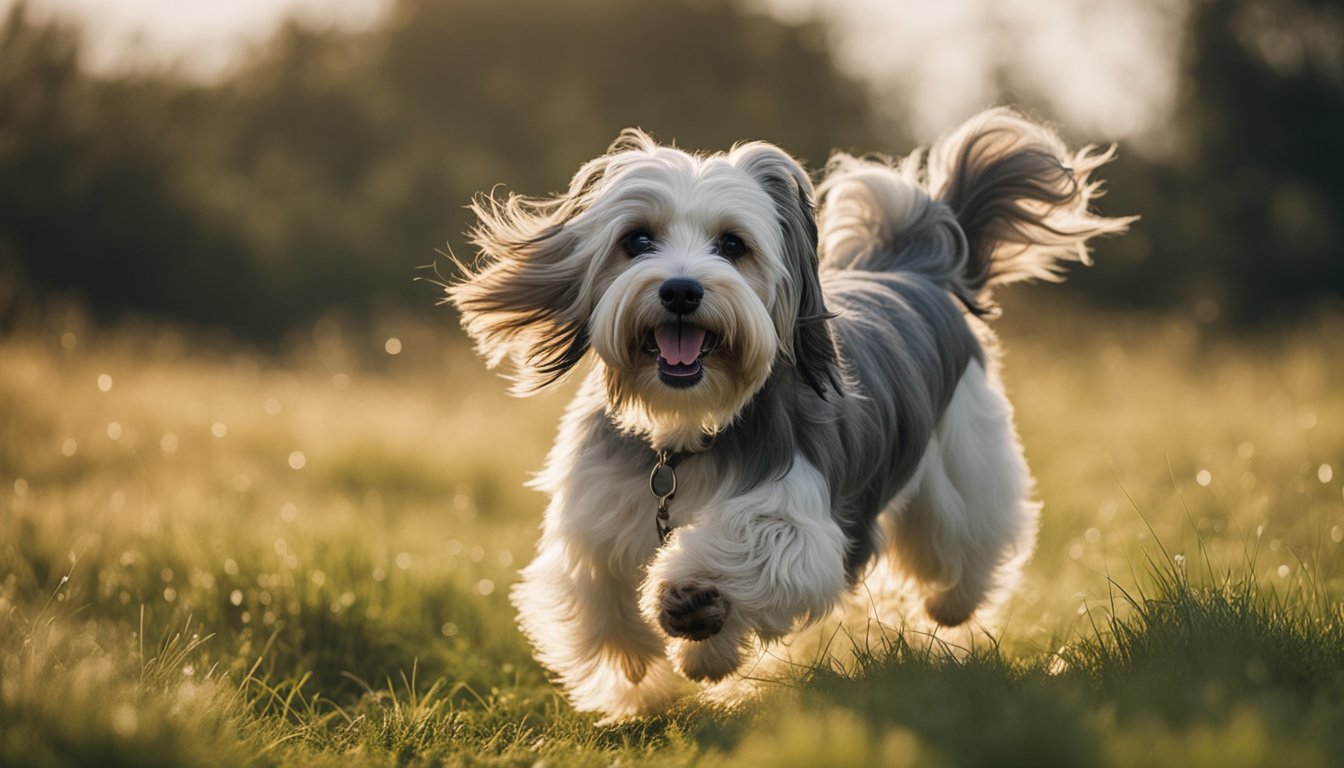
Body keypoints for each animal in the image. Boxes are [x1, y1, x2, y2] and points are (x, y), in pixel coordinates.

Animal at [446, 104, 1128, 720]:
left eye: (733, 244)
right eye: (636, 239)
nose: (681, 289)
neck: (688, 430)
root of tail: (913, 265)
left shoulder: (799, 511)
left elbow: (760, 541)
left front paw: (692, 596)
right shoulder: (599, 516)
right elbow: (604, 604)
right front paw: (649, 678)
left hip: (964, 460)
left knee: (963, 541)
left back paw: (951, 602)